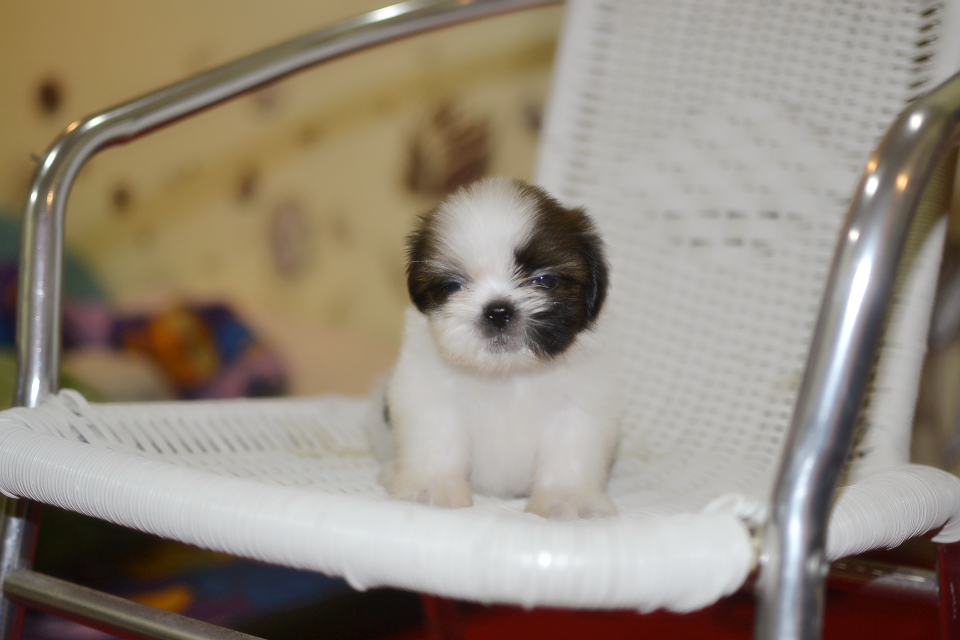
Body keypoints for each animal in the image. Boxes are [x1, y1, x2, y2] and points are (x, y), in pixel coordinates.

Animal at [370, 177, 620, 519]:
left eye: (544, 280)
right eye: (452, 286)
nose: (498, 311)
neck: (507, 373)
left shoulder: (578, 407)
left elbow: (570, 452)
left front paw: (567, 497)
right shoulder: (429, 397)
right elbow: (436, 442)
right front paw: (433, 486)